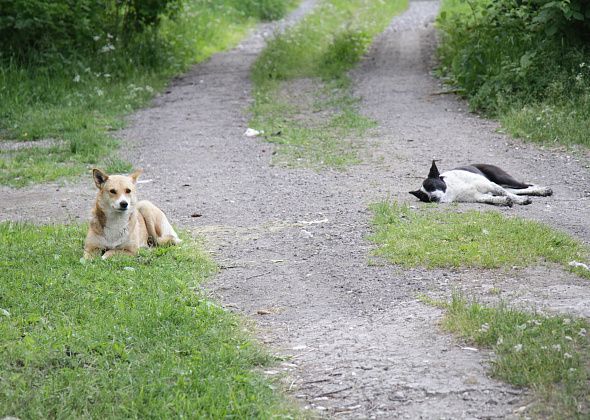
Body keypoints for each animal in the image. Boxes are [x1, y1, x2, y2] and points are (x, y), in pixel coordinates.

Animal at [412, 161, 556, 207]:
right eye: (425, 197)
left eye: (432, 186)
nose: (432, 198)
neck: (453, 189)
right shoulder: (478, 197)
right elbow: (493, 199)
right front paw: (504, 201)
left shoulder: (490, 185)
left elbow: (508, 194)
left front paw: (521, 201)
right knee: (518, 190)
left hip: (502, 178)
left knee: (525, 185)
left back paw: (542, 190)